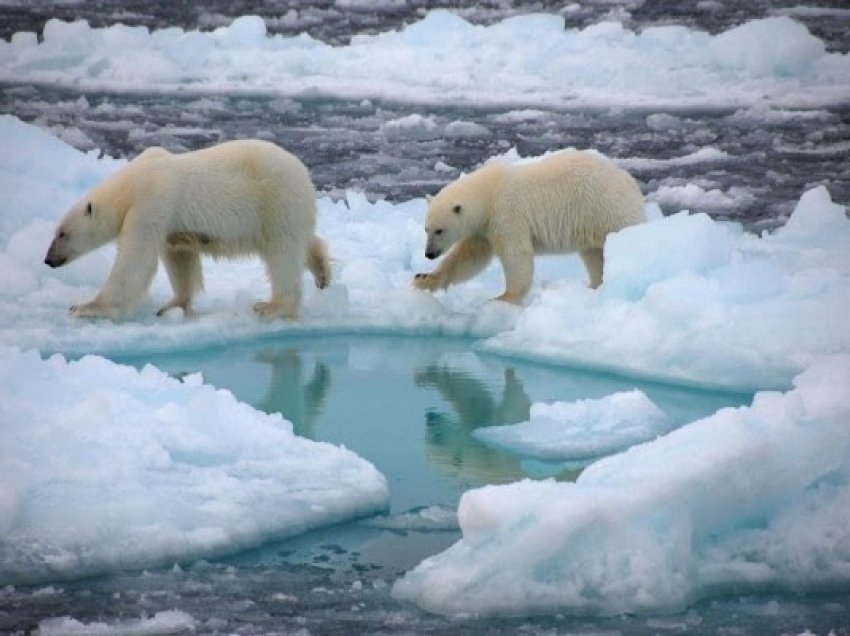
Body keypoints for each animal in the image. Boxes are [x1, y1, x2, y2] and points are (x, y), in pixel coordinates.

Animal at [44, 139, 332, 318]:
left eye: (62, 233)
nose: (48, 260)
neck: (131, 184)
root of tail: (304, 173)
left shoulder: (151, 202)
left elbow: (134, 262)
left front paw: (85, 307)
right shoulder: (168, 222)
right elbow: (180, 259)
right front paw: (172, 306)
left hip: (275, 200)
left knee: (283, 254)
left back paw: (272, 306)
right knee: (303, 243)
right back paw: (322, 273)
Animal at [410, 149, 644, 304]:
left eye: (440, 230)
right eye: (426, 229)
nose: (429, 254)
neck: (488, 194)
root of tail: (630, 182)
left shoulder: (507, 214)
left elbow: (516, 254)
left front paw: (504, 297)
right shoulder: (483, 228)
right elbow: (468, 257)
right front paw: (424, 279)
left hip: (608, 211)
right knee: (593, 255)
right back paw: (594, 286)